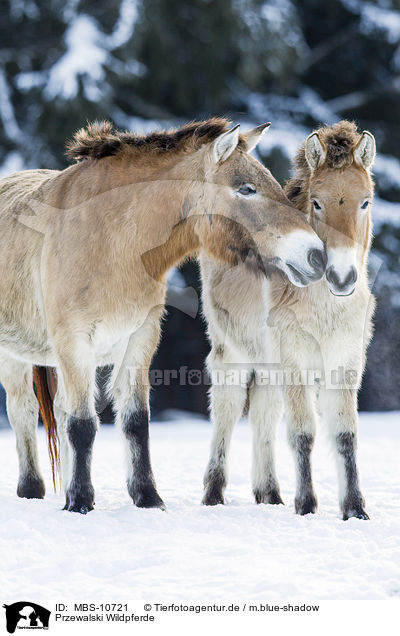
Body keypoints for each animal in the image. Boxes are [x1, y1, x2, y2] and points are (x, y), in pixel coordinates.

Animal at [0, 118, 324, 512]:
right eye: (246, 189)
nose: (315, 255)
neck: (110, 241)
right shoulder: (74, 344)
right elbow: (82, 425)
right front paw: (80, 501)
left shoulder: (140, 339)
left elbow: (135, 421)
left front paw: (147, 497)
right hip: (13, 355)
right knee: (23, 409)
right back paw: (32, 487)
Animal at [202, 120, 376, 520]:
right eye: (317, 202)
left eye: (365, 201)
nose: (341, 277)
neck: (324, 307)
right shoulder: (295, 361)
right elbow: (303, 433)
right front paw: (307, 504)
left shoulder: (344, 361)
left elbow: (346, 434)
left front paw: (355, 509)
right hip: (232, 353)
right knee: (228, 409)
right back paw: (214, 493)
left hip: (268, 364)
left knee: (264, 413)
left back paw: (269, 493)